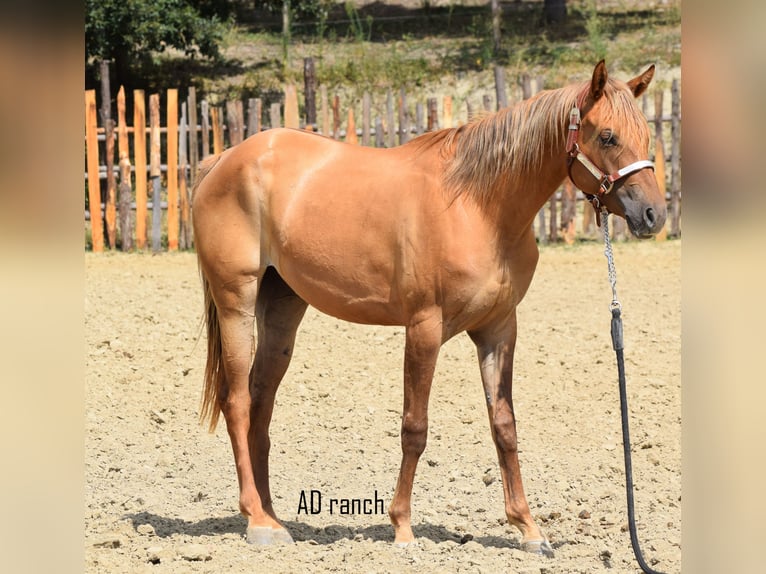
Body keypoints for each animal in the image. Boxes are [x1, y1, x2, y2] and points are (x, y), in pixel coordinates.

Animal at [190, 60, 664, 556]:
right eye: (607, 136)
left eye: (645, 133)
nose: (654, 215)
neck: (479, 206)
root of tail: (223, 159)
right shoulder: (424, 328)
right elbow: (414, 428)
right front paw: (402, 527)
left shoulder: (499, 330)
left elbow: (504, 426)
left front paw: (530, 529)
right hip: (236, 301)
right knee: (236, 401)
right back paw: (256, 521)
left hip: (282, 307)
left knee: (260, 402)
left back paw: (272, 517)